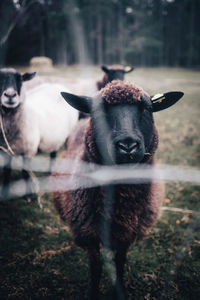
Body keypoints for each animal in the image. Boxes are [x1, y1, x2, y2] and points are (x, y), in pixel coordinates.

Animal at [52, 80, 184, 300]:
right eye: (99, 111)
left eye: (147, 108)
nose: (127, 145)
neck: (121, 205)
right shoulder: (88, 236)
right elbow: (96, 268)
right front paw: (93, 293)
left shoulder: (127, 234)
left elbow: (120, 263)